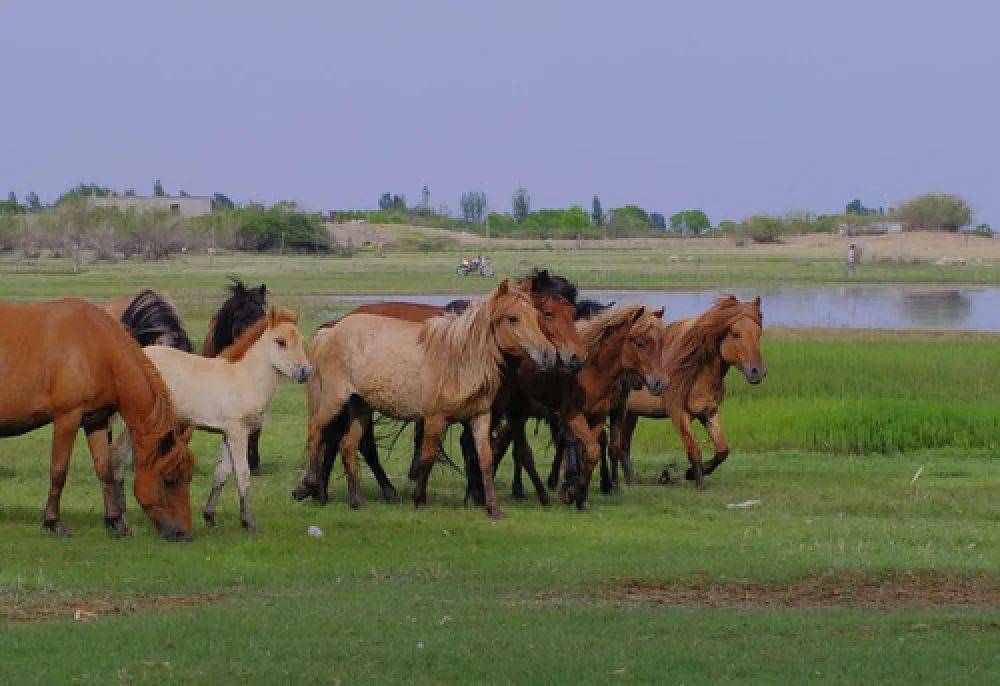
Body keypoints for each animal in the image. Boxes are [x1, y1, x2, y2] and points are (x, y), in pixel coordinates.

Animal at [0, 300, 195, 544]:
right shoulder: (67, 417)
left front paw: (116, 522)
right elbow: (59, 470)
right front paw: (54, 522)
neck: (93, 346)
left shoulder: (97, 421)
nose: (185, 534)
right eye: (169, 480)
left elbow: (104, 469)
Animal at [114, 310, 308, 536]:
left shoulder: (227, 433)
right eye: (280, 341)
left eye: (301, 340)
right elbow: (242, 473)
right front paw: (248, 522)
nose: (305, 372)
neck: (245, 378)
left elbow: (221, 474)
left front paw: (209, 517)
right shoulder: (238, 432)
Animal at [600, 294, 764, 490]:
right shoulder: (678, 414)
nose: (758, 371)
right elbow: (693, 450)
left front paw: (692, 474)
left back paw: (631, 482)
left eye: (759, 334)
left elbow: (722, 450)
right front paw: (699, 482)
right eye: (736, 334)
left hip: (630, 413)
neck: (694, 370)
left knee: (623, 446)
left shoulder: (708, 411)